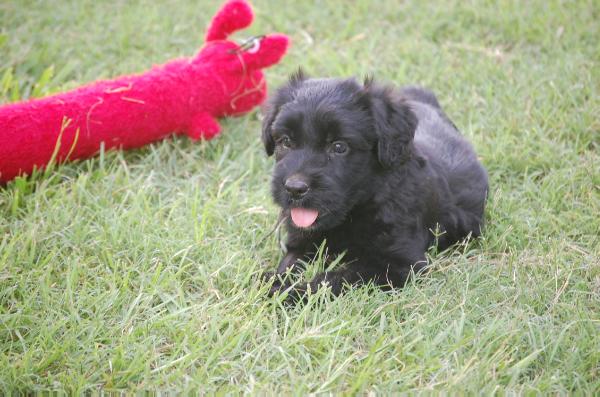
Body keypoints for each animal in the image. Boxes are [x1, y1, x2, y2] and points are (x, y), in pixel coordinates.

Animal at [262, 72, 488, 300]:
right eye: (286, 141)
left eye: (339, 147)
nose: (294, 188)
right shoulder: (302, 241)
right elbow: (290, 263)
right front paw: (273, 281)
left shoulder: (399, 264)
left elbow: (334, 279)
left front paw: (290, 295)